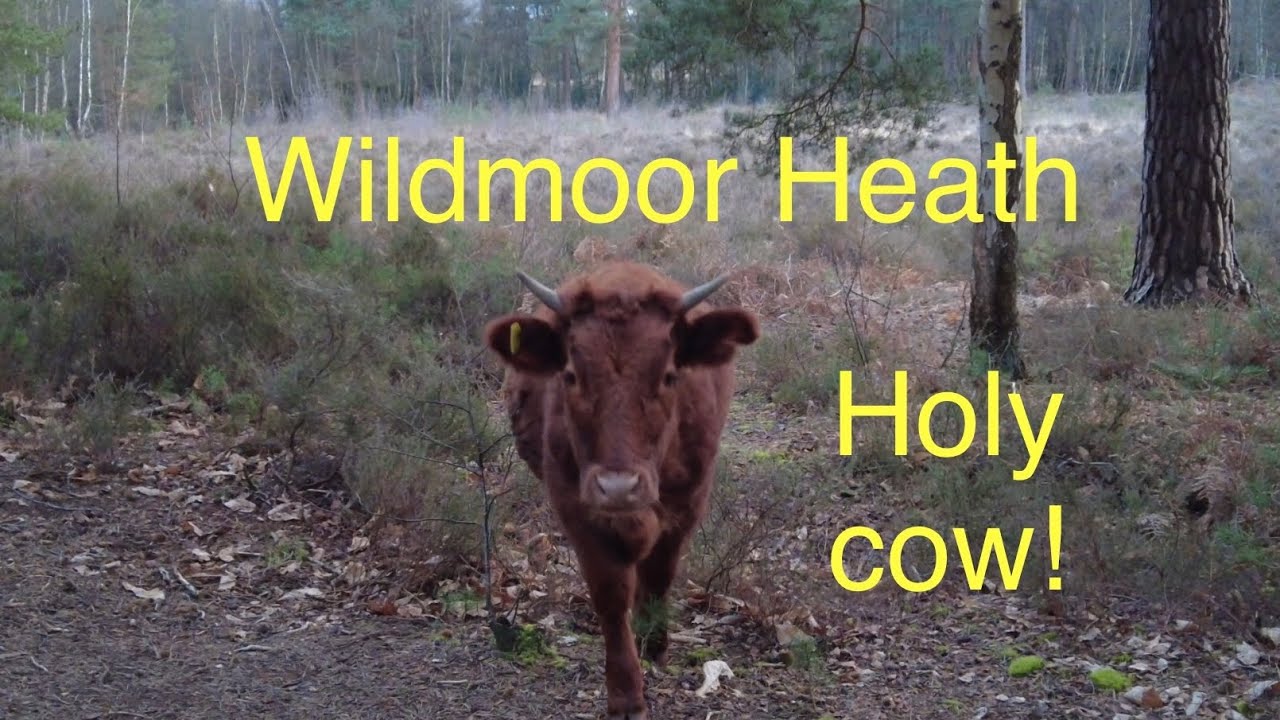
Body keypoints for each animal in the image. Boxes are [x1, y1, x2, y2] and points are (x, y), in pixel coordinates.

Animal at [483, 261, 759, 719]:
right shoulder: (576, 508)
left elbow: (660, 573)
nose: (617, 488)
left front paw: (654, 642)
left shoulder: (687, 504)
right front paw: (627, 694)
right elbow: (610, 595)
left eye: (669, 375)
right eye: (571, 375)